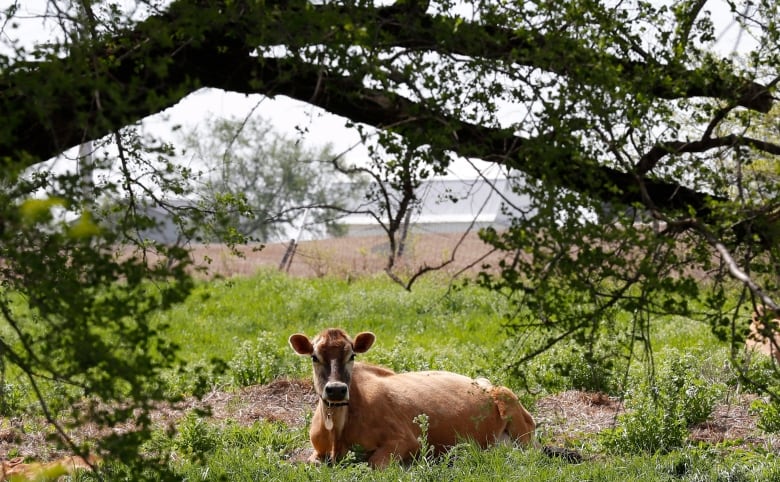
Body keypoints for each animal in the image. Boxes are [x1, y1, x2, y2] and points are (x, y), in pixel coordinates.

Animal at [290, 328, 540, 466]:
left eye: (352, 355)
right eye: (314, 357)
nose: (336, 389)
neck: (337, 434)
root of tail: (485, 383)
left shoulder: (406, 440)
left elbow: (373, 463)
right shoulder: (317, 451)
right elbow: (311, 462)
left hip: (513, 411)